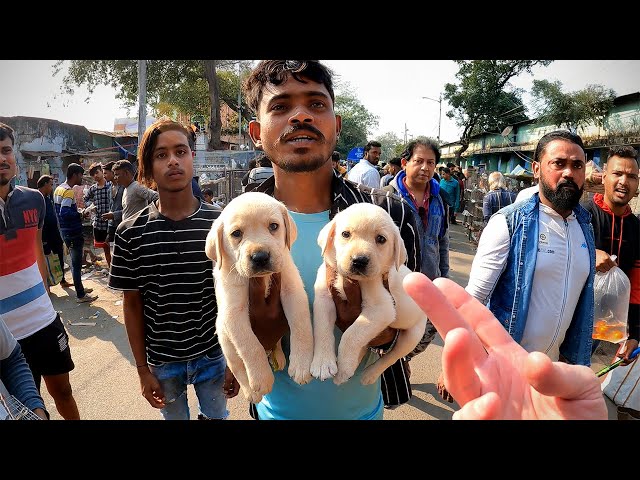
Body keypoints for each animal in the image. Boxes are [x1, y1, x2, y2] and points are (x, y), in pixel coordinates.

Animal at [205, 190, 316, 402]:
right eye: (236, 234)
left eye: (273, 226)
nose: (260, 257)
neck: (261, 279)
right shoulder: (233, 313)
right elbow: (250, 346)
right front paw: (261, 379)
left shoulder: (293, 292)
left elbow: (301, 327)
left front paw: (301, 365)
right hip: (226, 342)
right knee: (238, 368)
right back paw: (251, 392)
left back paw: (279, 357)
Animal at [310, 202, 424, 386]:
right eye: (345, 234)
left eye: (381, 239)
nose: (359, 260)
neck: (352, 280)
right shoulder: (324, 298)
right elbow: (322, 329)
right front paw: (322, 363)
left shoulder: (381, 309)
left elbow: (351, 335)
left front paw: (344, 365)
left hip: (412, 335)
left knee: (391, 357)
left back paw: (367, 373)